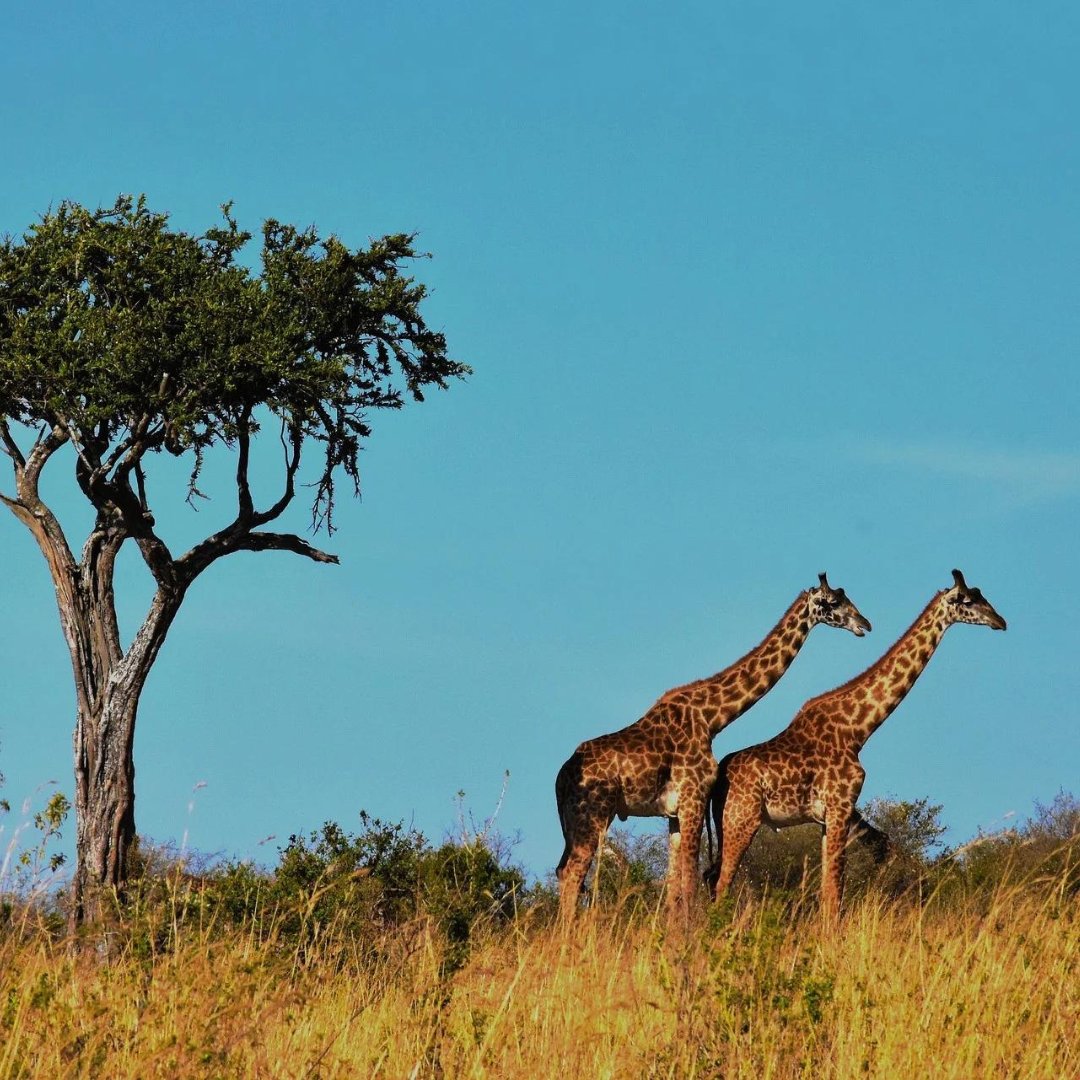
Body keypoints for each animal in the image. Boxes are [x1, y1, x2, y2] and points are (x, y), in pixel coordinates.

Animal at [552, 570, 872, 924]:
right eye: (832, 602)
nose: (865, 624)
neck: (712, 717)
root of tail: (561, 779)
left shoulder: (675, 811)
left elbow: (676, 886)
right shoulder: (693, 798)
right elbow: (690, 882)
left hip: (573, 823)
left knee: (562, 870)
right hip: (594, 815)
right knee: (573, 872)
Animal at [708, 570, 1002, 915]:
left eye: (983, 595)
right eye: (967, 600)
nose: (1000, 621)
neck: (858, 729)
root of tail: (719, 780)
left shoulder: (833, 815)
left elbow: (830, 887)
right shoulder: (840, 806)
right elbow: (834, 891)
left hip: (725, 822)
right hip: (741, 819)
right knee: (722, 882)